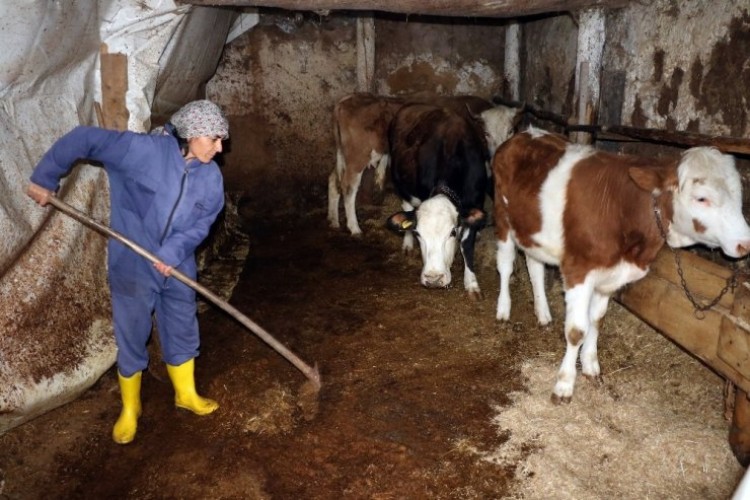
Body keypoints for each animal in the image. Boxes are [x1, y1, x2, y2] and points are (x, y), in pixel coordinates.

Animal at [388, 99, 524, 298]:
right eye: (419, 234)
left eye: (452, 232)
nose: (433, 279)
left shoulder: (474, 203)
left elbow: (467, 246)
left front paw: (472, 284)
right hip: (400, 184)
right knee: (406, 207)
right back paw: (406, 244)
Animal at [494, 127, 750, 404]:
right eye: (701, 198)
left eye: (739, 198)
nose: (745, 243)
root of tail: (526, 132)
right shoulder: (578, 270)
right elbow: (576, 330)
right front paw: (563, 385)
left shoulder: (610, 277)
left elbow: (597, 321)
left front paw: (590, 365)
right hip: (502, 219)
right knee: (505, 265)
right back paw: (503, 310)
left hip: (532, 231)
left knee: (535, 267)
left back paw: (542, 313)